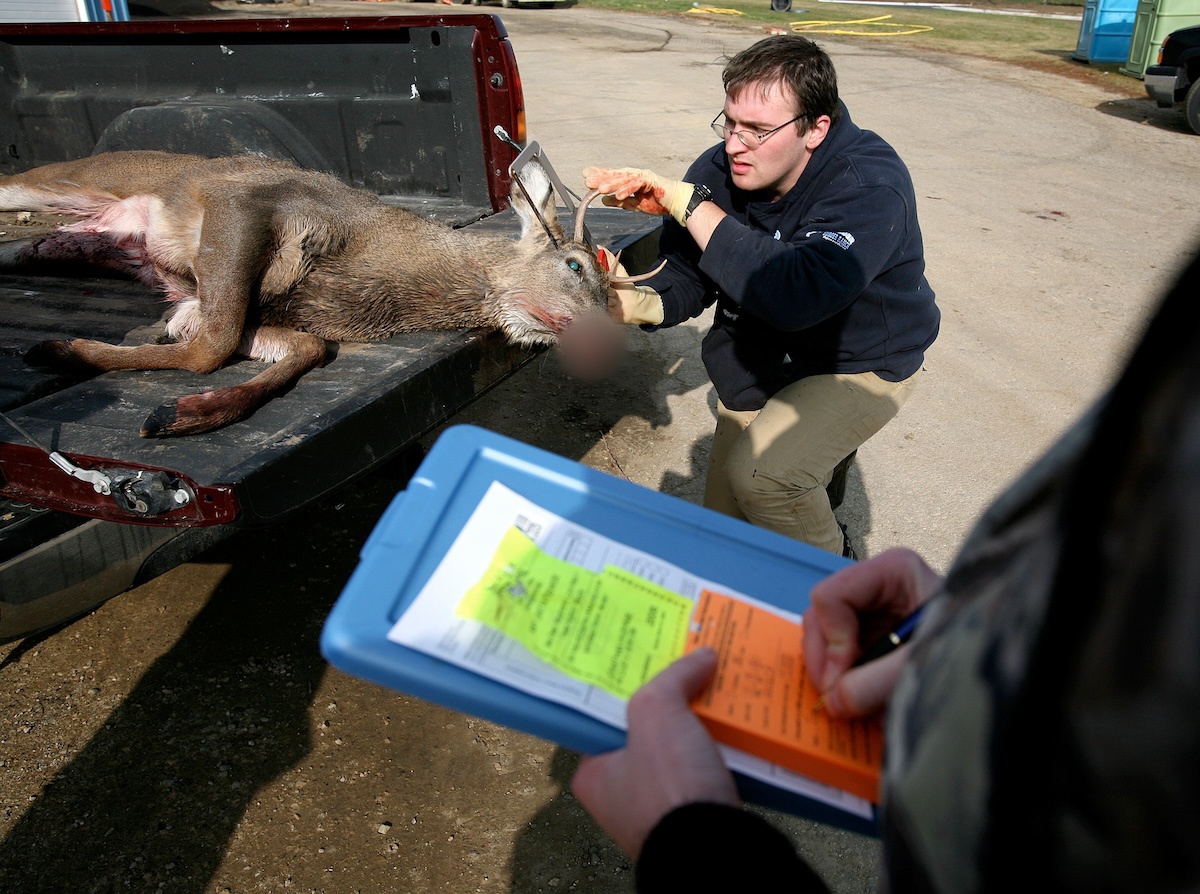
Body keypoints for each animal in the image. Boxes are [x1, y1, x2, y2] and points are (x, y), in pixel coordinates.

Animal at [0, 151, 657, 436]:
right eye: (574, 265)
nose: (611, 344)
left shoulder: (209, 306)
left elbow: (303, 349)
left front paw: (188, 411)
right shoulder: (246, 202)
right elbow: (212, 344)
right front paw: (61, 350)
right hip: (77, 176)